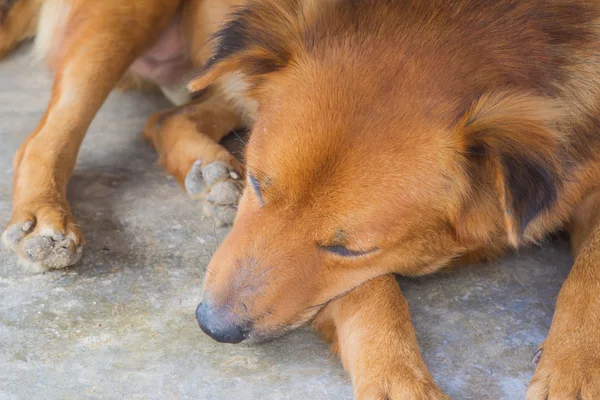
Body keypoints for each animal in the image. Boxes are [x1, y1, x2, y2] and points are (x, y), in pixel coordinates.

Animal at [3, 0, 600, 398]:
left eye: (350, 249)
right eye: (260, 183)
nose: (212, 326)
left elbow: (589, 276)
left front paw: (572, 372)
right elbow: (373, 297)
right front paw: (396, 377)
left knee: (167, 116)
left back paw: (211, 175)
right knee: (48, 132)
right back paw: (44, 217)